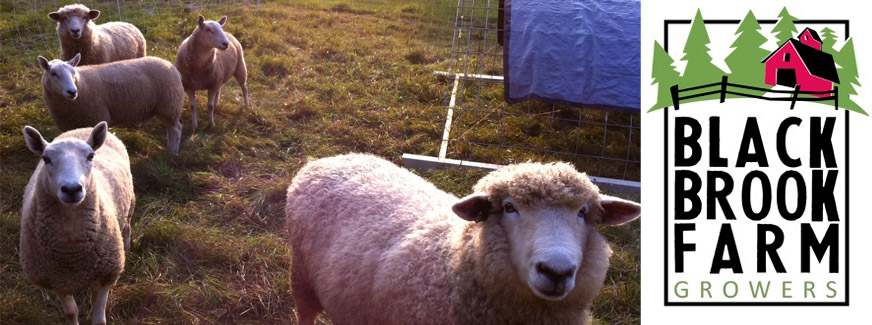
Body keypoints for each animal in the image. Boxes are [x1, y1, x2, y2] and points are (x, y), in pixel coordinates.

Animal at [18, 121, 134, 324]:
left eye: (90, 156)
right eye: (46, 158)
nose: (72, 189)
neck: (71, 251)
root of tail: (83, 128)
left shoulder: (107, 274)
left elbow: (99, 318)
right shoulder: (57, 280)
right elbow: (71, 312)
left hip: (129, 203)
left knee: (127, 224)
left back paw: (127, 245)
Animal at [40, 52, 186, 154]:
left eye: (73, 72)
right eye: (53, 73)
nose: (72, 91)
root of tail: (172, 67)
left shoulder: (96, 118)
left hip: (169, 105)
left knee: (176, 129)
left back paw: (172, 152)